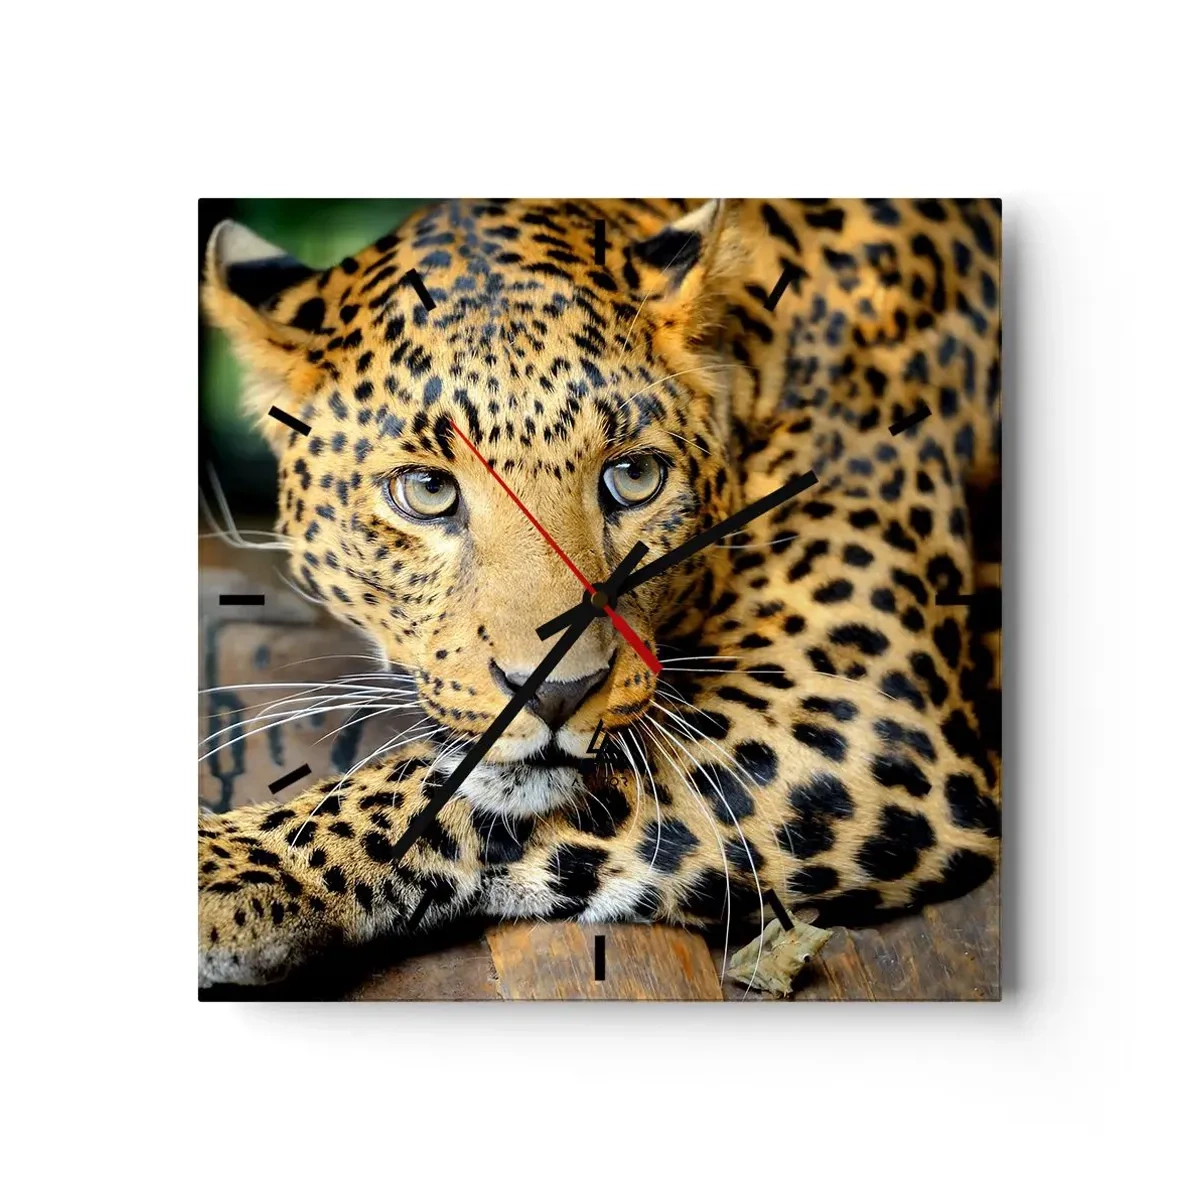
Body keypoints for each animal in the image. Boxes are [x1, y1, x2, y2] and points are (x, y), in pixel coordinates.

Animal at [199, 198, 1002, 989]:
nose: (554, 694)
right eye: (426, 490)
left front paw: (226, 869)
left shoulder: (862, 716)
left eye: (634, 477)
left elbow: (433, 788)